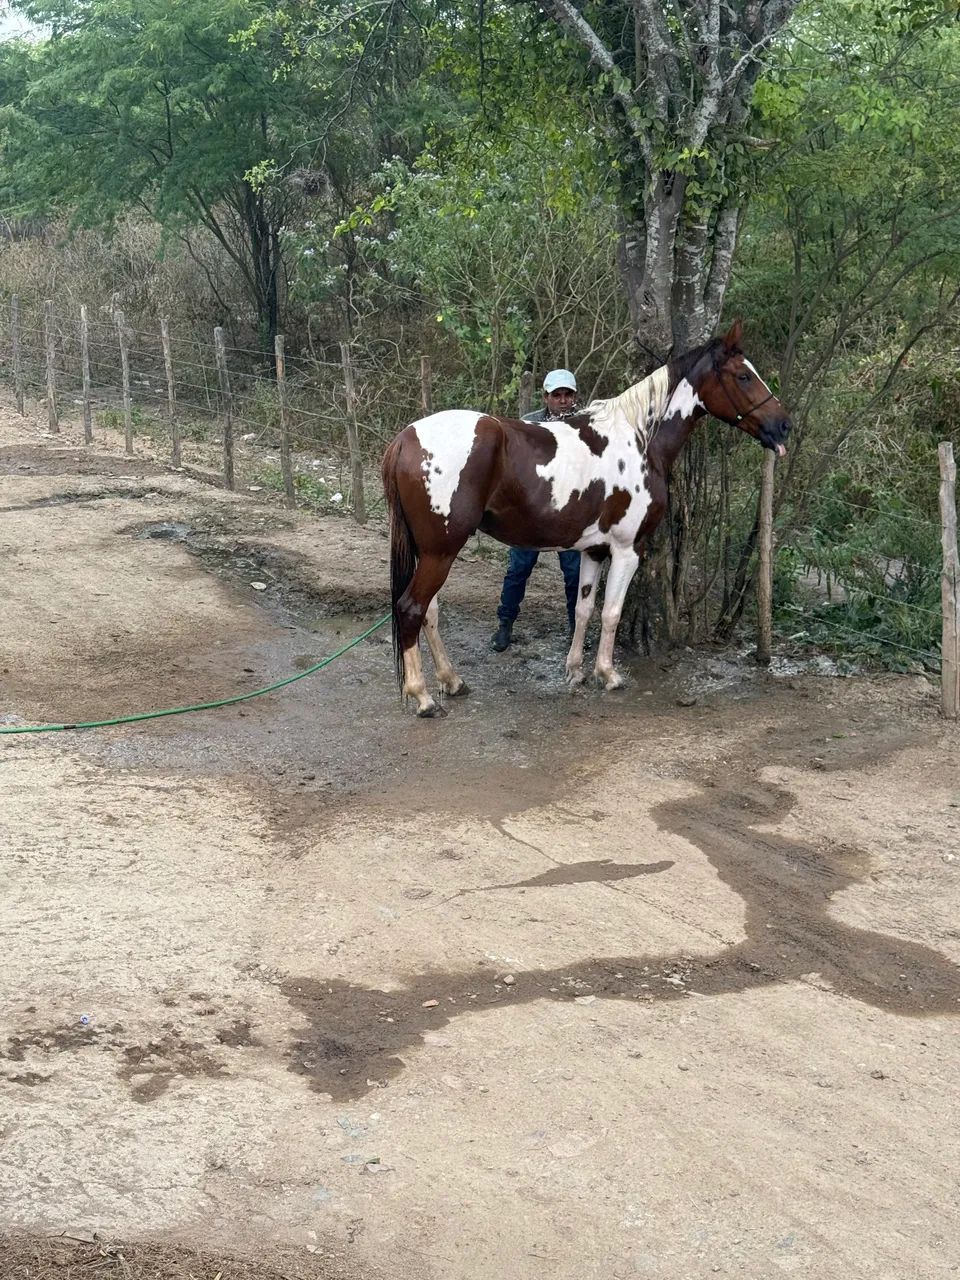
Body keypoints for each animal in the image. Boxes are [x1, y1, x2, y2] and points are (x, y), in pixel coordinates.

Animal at [381, 320, 790, 716]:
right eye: (743, 376)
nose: (783, 425)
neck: (640, 439)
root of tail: (405, 438)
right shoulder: (627, 550)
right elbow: (611, 612)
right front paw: (608, 674)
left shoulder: (593, 550)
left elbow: (583, 609)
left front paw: (575, 671)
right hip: (441, 552)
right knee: (411, 608)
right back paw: (423, 697)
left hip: (429, 551)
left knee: (430, 612)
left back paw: (452, 681)